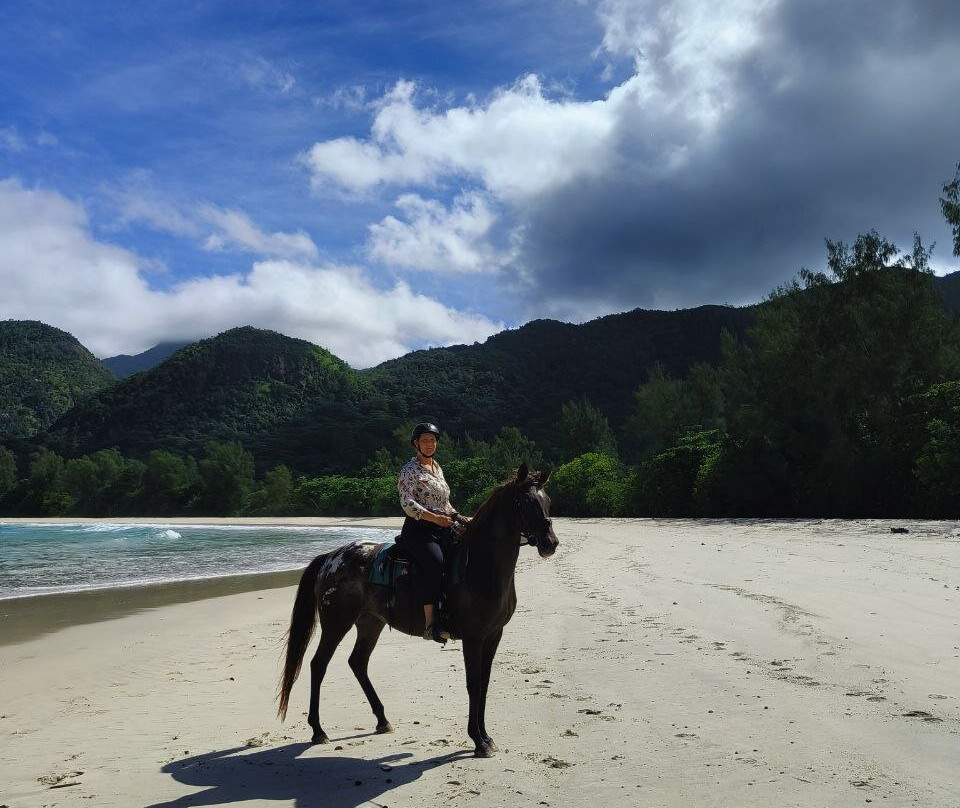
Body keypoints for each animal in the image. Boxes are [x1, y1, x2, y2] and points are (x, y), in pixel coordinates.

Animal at [277, 464, 558, 758]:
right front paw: (478, 740)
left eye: (547, 501)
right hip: (336, 623)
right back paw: (318, 730)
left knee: (358, 662)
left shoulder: (493, 635)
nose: (550, 543)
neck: (478, 566)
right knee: (318, 664)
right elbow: (474, 684)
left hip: (370, 623)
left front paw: (486, 737)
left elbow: (484, 683)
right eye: (525, 502)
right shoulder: (473, 638)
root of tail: (330, 557)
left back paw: (382, 720)